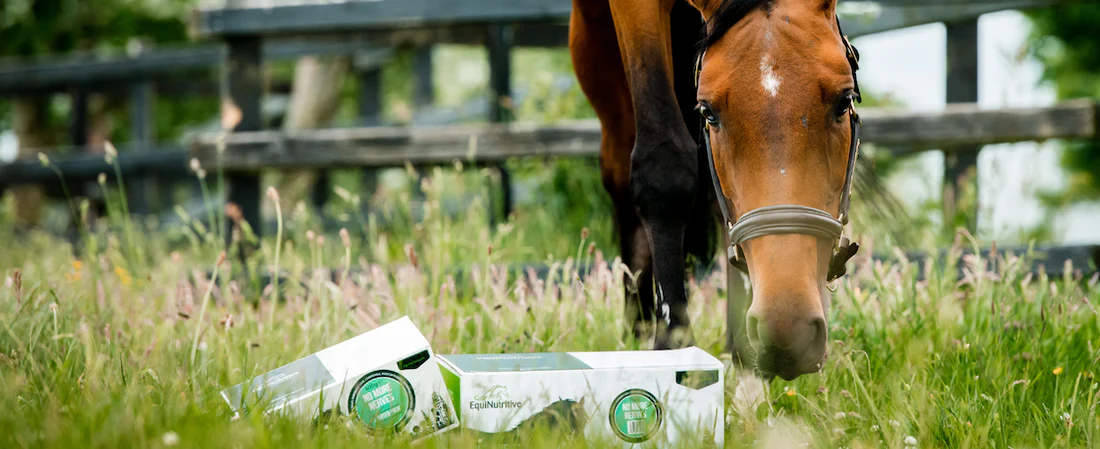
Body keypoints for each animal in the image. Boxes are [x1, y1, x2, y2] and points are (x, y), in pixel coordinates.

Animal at [569, 0, 863, 381]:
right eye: (708, 112)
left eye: (844, 101)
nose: (787, 324)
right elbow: (662, 167)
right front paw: (675, 350)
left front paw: (746, 363)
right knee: (620, 163)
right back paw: (638, 330)